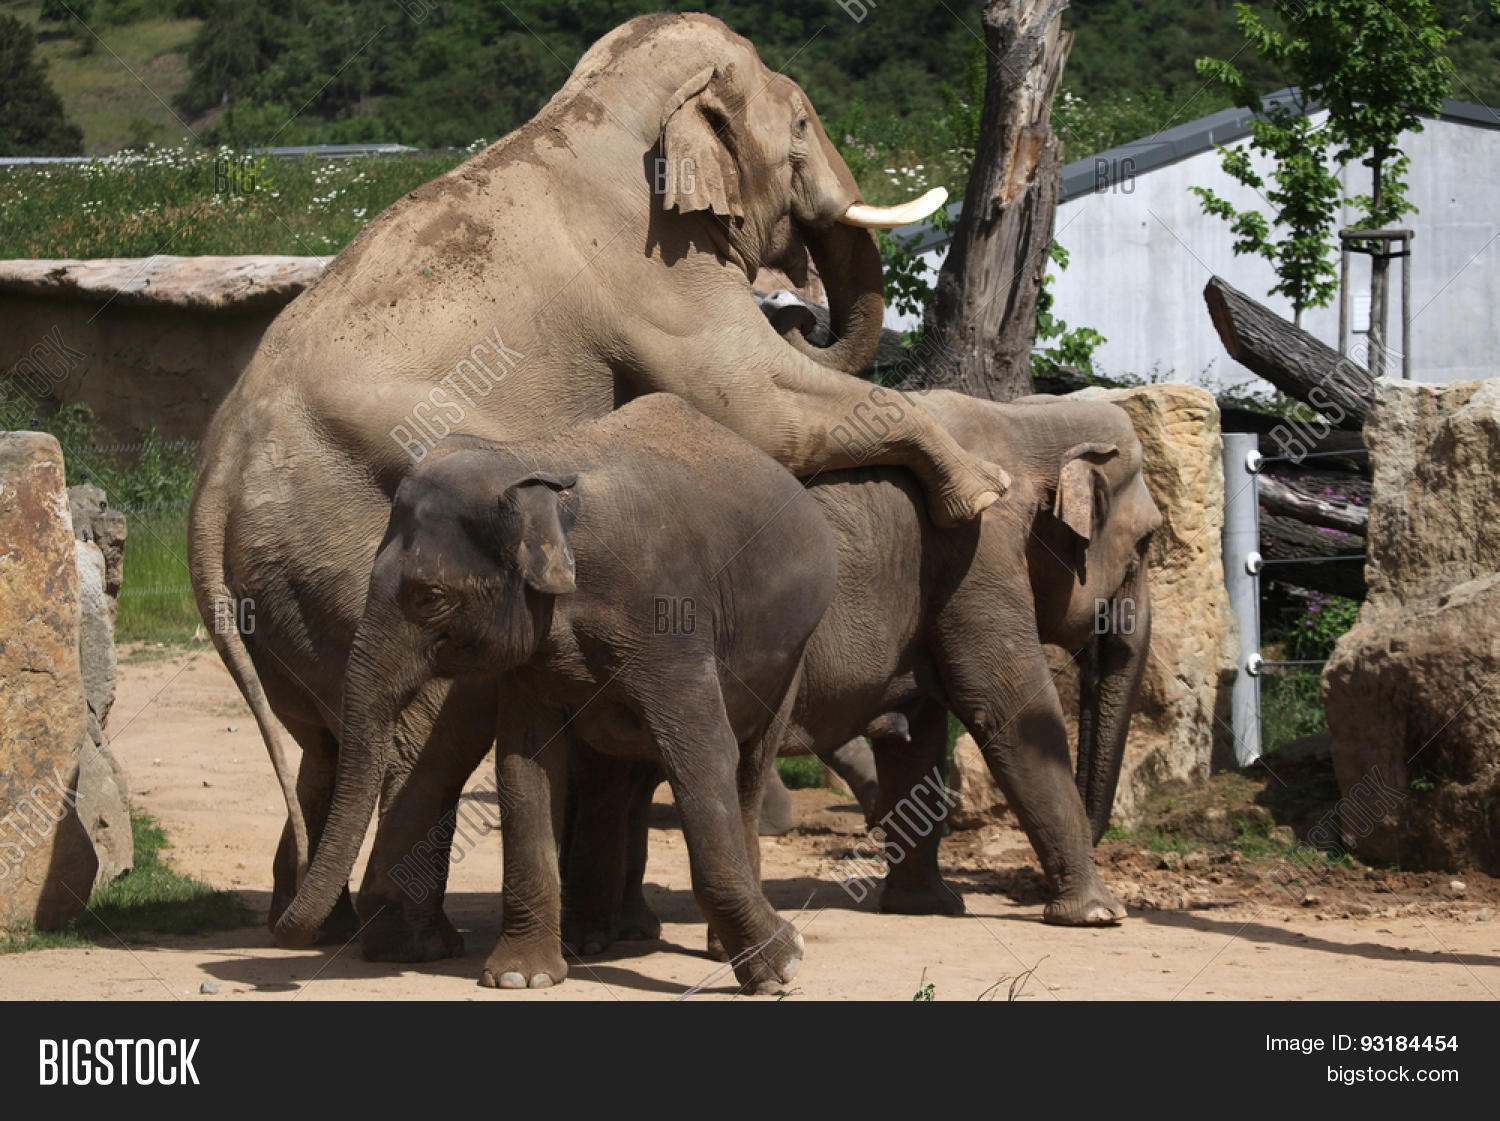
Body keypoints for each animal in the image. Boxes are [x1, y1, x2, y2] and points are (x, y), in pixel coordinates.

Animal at [268, 393, 834, 990]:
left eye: (429, 596)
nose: (286, 933)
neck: (532, 461)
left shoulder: (668, 617)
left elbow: (702, 752)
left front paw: (781, 967)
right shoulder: (532, 650)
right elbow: (524, 764)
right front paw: (522, 979)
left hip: (792, 652)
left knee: (749, 764)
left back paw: (717, 946)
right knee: (608, 776)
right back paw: (590, 938)